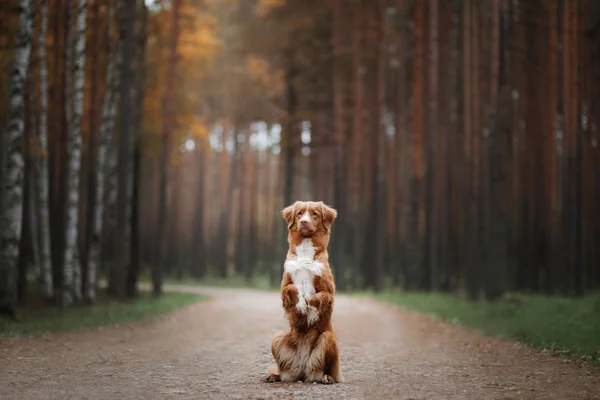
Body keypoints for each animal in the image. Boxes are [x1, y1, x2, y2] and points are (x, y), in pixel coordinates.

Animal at [264, 200, 342, 384]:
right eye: (300, 213)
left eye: (314, 214)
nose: (304, 222)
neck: (306, 251)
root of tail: (303, 368)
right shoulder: (284, 286)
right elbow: (292, 288)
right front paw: (300, 306)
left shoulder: (329, 292)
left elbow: (316, 298)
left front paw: (311, 312)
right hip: (277, 337)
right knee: (283, 371)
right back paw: (274, 376)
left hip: (328, 338)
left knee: (323, 370)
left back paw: (326, 377)